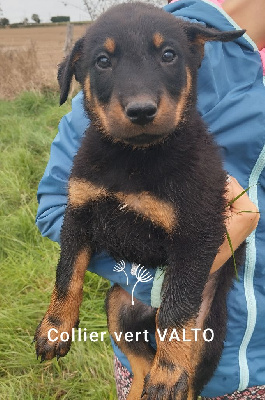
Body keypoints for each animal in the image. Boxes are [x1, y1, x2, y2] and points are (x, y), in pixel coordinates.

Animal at [34, 3, 243, 400]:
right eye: (102, 61)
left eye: (168, 55)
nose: (142, 110)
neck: (133, 156)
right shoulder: (78, 213)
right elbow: (67, 272)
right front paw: (54, 329)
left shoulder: (196, 233)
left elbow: (176, 307)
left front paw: (167, 374)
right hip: (119, 311)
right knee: (141, 362)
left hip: (207, 333)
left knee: (180, 369)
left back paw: (168, 376)